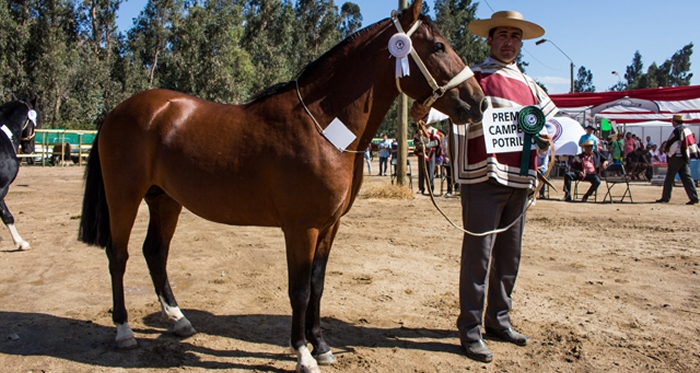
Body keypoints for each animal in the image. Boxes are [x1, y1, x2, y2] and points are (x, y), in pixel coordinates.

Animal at [76, 1, 482, 370]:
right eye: (439, 46)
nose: (477, 102)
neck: (323, 125)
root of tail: (119, 111)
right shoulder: (302, 228)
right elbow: (299, 289)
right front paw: (303, 353)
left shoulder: (330, 226)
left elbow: (317, 284)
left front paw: (322, 347)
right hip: (124, 197)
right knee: (119, 256)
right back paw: (124, 331)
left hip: (165, 200)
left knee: (155, 253)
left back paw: (179, 321)